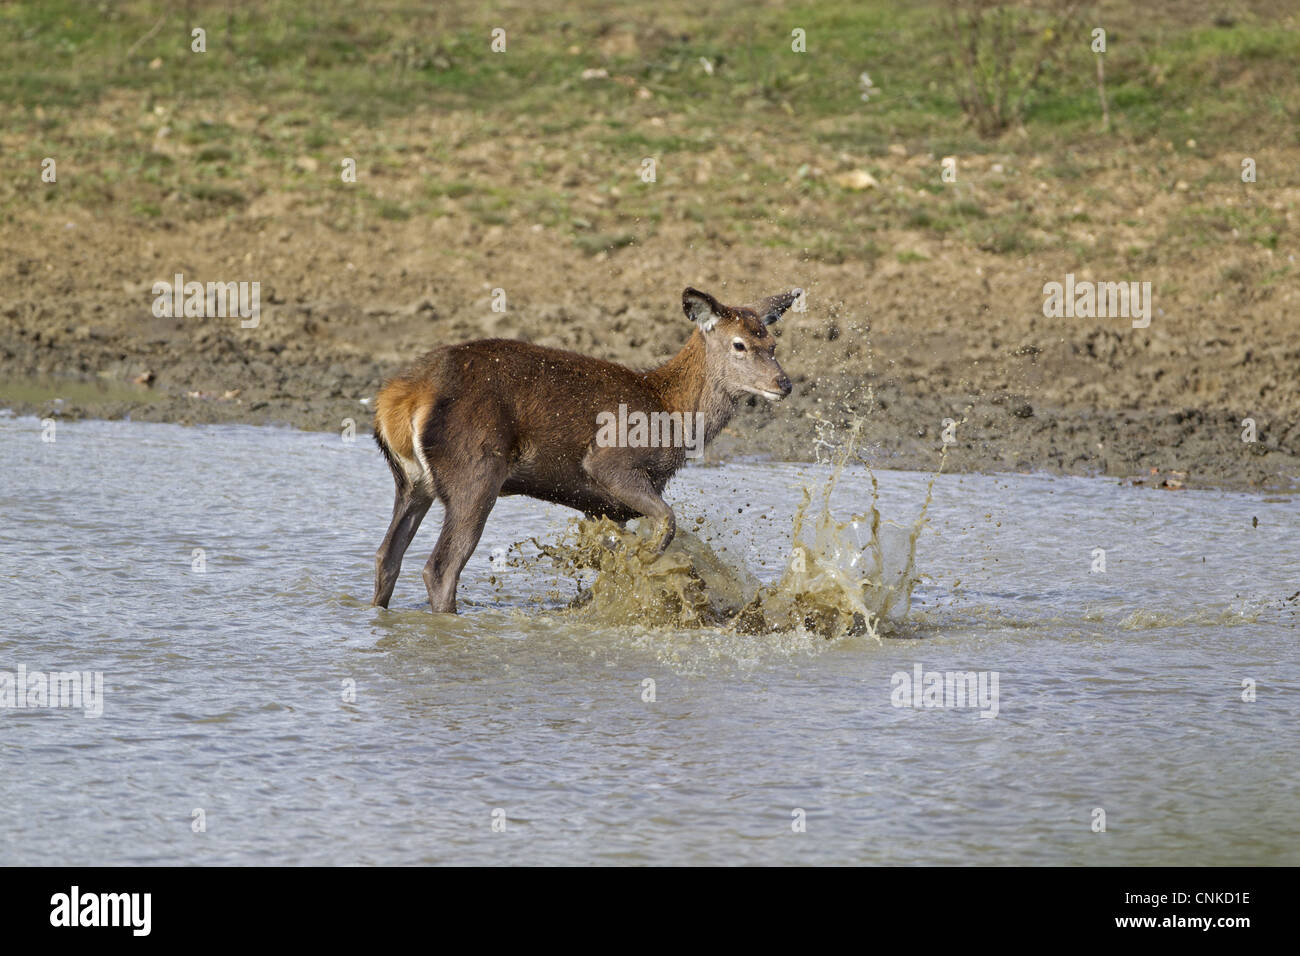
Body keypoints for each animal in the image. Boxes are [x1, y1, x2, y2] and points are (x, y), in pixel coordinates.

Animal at [370, 285, 800, 614]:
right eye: (739, 344)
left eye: (773, 343)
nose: (784, 383)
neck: (672, 413)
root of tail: (399, 398)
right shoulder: (611, 463)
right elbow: (668, 520)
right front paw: (648, 566)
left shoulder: (602, 506)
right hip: (474, 471)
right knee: (440, 567)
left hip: (413, 482)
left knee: (387, 555)